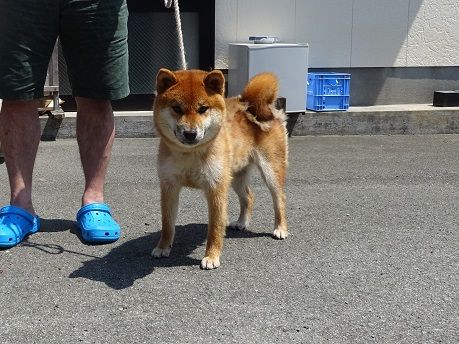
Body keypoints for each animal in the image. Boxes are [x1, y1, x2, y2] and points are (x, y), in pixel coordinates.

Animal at [153, 70, 290, 268]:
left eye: (203, 109)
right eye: (176, 108)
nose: (190, 133)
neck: (190, 154)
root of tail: (254, 103)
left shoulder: (216, 189)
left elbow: (215, 228)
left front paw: (211, 256)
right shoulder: (169, 186)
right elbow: (167, 224)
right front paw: (163, 247)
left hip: (270, 170)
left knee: (279, 199)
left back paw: (280, 228)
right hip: (235, 176)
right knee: (248, 196)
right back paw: (242, 222)